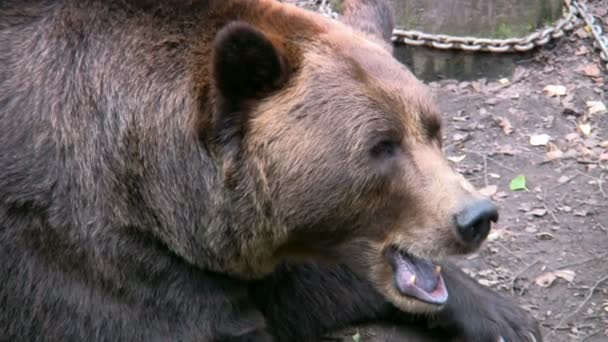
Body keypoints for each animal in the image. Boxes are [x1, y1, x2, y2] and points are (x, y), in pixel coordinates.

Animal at [1, 0, 540, 340]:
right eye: (381, 146)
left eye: (432, 128)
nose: (475, 216)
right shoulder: (87, 257)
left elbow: (317, 284)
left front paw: (505, 318)